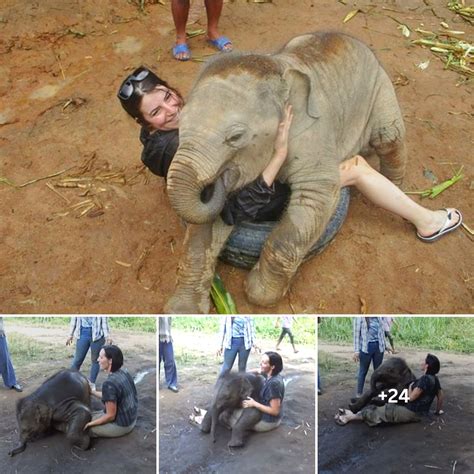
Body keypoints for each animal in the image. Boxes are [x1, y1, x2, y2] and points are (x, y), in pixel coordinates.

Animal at [165, 28, 406, 312]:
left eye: (235, 137)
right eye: (178, 122)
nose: (217, 180)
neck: (279, 71)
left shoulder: (314, 134)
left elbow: (314, 198)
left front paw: (257, 292)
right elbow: (205, 229)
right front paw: (183, 310)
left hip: (380, 87)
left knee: (389, 138)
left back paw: (396, 182)